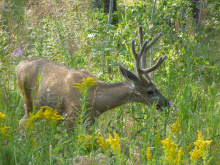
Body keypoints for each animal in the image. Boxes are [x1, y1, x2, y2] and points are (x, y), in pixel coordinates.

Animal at [17, 25, 168, 127]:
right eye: (150, 91)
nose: (166, 102)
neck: (96, 100)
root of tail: (18, 65)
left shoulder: (89, 122)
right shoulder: (70, 116)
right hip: (28, 100)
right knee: (23, 122)